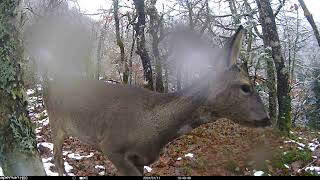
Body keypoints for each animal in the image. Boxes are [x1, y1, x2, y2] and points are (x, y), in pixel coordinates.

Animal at [44, 26, 270, 176]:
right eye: (246, 87)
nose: (267, 119)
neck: (152, 128)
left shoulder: (141, 159)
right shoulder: (110, 144)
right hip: (56, 122)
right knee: (57, 156)